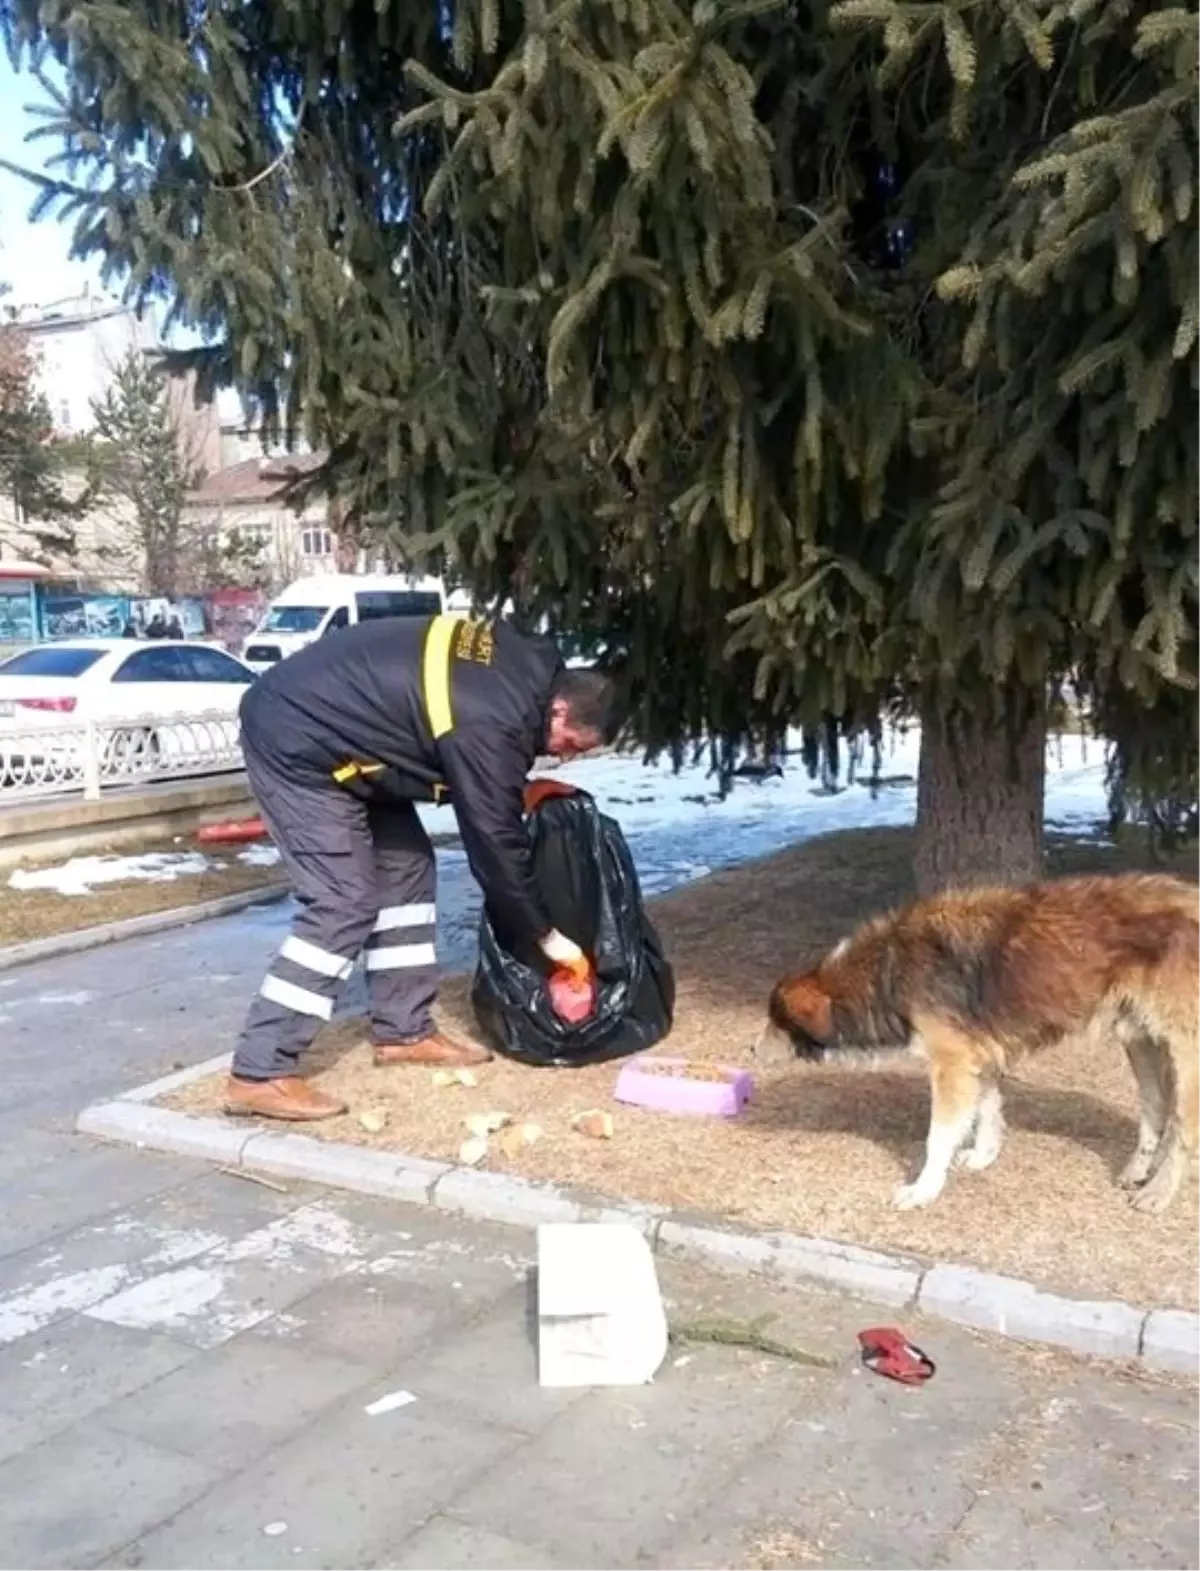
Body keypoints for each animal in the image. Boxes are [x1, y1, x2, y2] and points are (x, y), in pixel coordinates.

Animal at [760, 873, 1200, 1212]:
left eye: (775, 1020)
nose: (752, 1050)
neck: (886, 968)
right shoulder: (978, 1054)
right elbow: (988, 1109)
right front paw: (984, 1156)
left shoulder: (952, 1062)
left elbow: (939, 1135)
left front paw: (923, 1190)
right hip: (1139, 1039)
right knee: (1156, 1110)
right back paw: (1138, 1172)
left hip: (1185, 1055)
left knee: (1183, 1127)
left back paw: (1159, 1193)